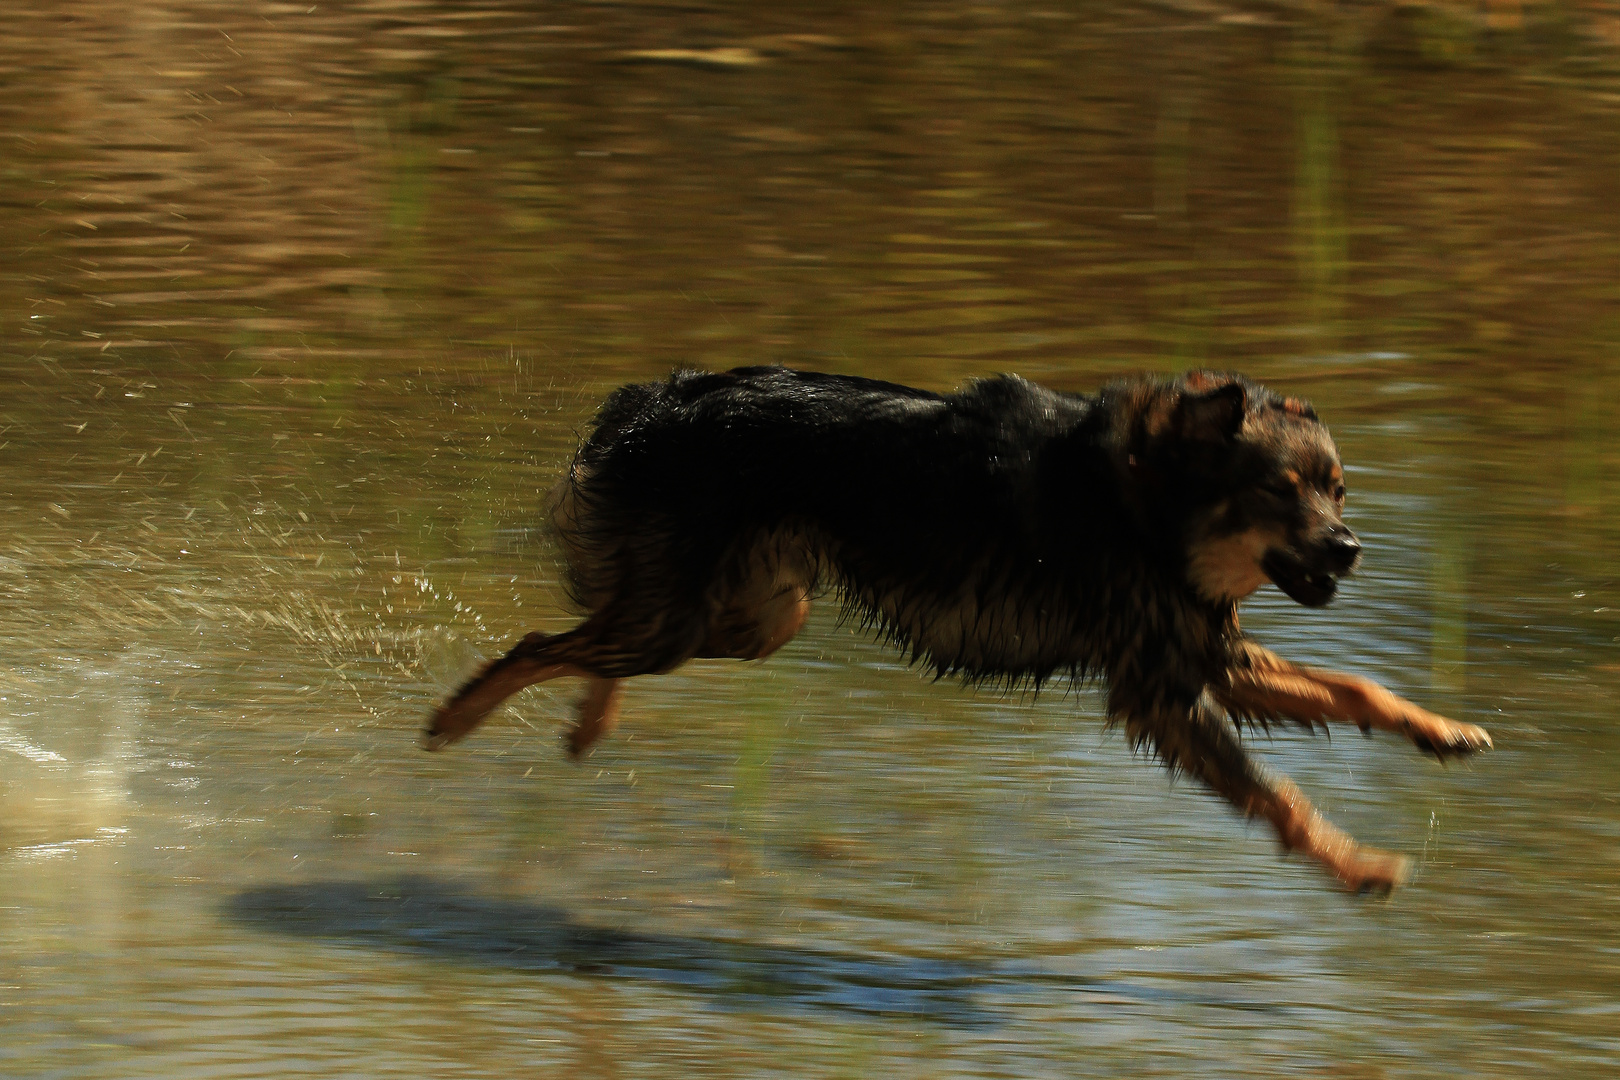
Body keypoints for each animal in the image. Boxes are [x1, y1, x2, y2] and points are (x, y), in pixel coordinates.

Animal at [421, 367, 1490, 893]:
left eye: (1336, 488)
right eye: (1280, 490)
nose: (1351, 548)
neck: (1147, 497)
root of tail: (660, 399)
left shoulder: (1199, 657)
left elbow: (1356, 689)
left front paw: (1443, 731)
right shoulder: (1163, 689)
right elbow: (1281, 799)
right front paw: (1358, 868)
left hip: (753, 615)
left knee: (591, 637)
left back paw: (586, 724)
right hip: (700, 617)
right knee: (540, 645)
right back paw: (454, 720)